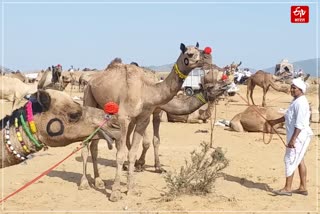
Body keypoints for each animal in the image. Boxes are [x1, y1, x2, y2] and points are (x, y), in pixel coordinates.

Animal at [82, 43, 206, 201]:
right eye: (189, 54)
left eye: (200, 50)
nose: (205, 58)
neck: (146, 91)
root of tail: (91, 81)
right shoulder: (123, 118)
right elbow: (120, 155)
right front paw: (115, 193)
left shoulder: (143, 119)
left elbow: (132, 153)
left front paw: (131, 189)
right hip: (88, 96)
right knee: (86, 145)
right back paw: (84, 183)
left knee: (94, 146)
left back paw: (98, 181)